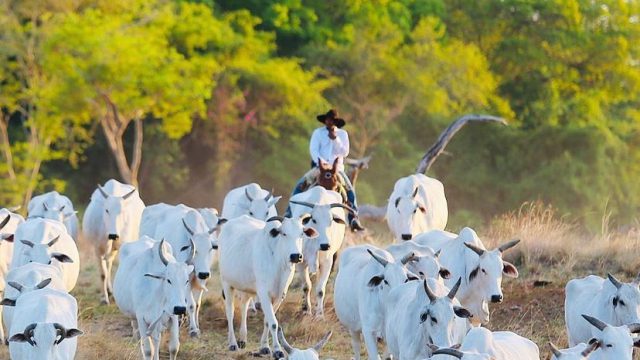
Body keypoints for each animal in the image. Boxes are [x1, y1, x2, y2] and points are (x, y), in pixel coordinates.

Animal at [139, 202, 222, 338]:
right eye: (195, 250)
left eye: (210, 248)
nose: (204, 273)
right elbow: (191, 305)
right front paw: (193, 330)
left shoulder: (200, 280)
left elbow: (197, 304)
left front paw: (196, 326)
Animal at [218, 214, 318, 358]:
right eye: (284, 233)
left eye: (301, 234)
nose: (296, 256)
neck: (278, 262)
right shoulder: (264, 294)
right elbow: (274, 323)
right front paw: (277, 350)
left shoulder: (280, 295)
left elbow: (267, 321)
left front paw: (264, 347)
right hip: (227, 283)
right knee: (230, 312)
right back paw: (233, 343)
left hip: (247, 287)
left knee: (244, 307)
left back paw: (242, 339)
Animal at [290, 186, 350, 316]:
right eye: (314, 220)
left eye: (331, 220)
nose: (325, 245)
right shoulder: (301, 262)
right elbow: (306, 286)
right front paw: (307, 310)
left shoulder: (327, 263)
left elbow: (320, 290)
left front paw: (319, 314)